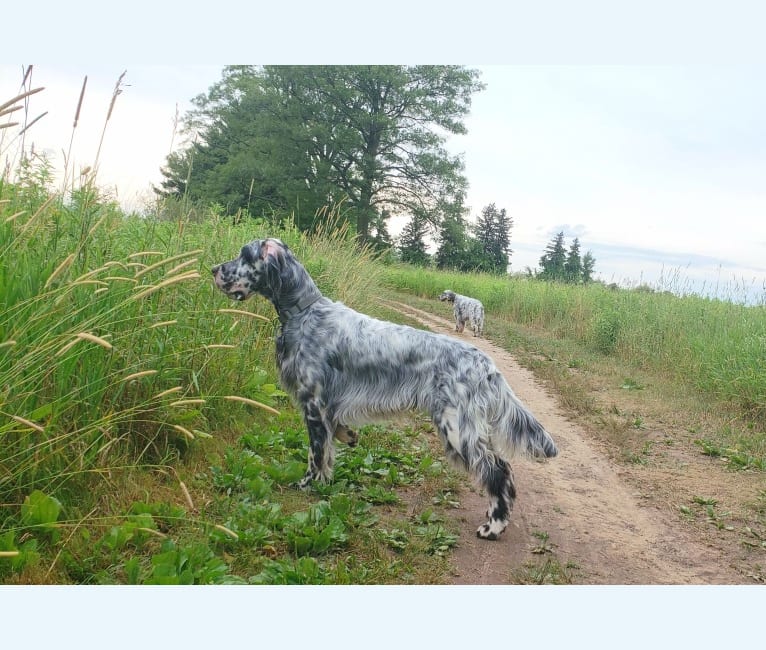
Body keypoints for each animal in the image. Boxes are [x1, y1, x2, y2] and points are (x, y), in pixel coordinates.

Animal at [210, 237, 560, 536]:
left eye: (245, 254)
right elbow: (332, 442)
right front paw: (346, 441)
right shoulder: (327, 407)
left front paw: (307, 485)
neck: (304, 312)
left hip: (457, 428)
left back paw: (494, 526)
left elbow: (315, 453)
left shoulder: (313, 403)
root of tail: (486, 364)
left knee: (498, 470)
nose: (214, 269)